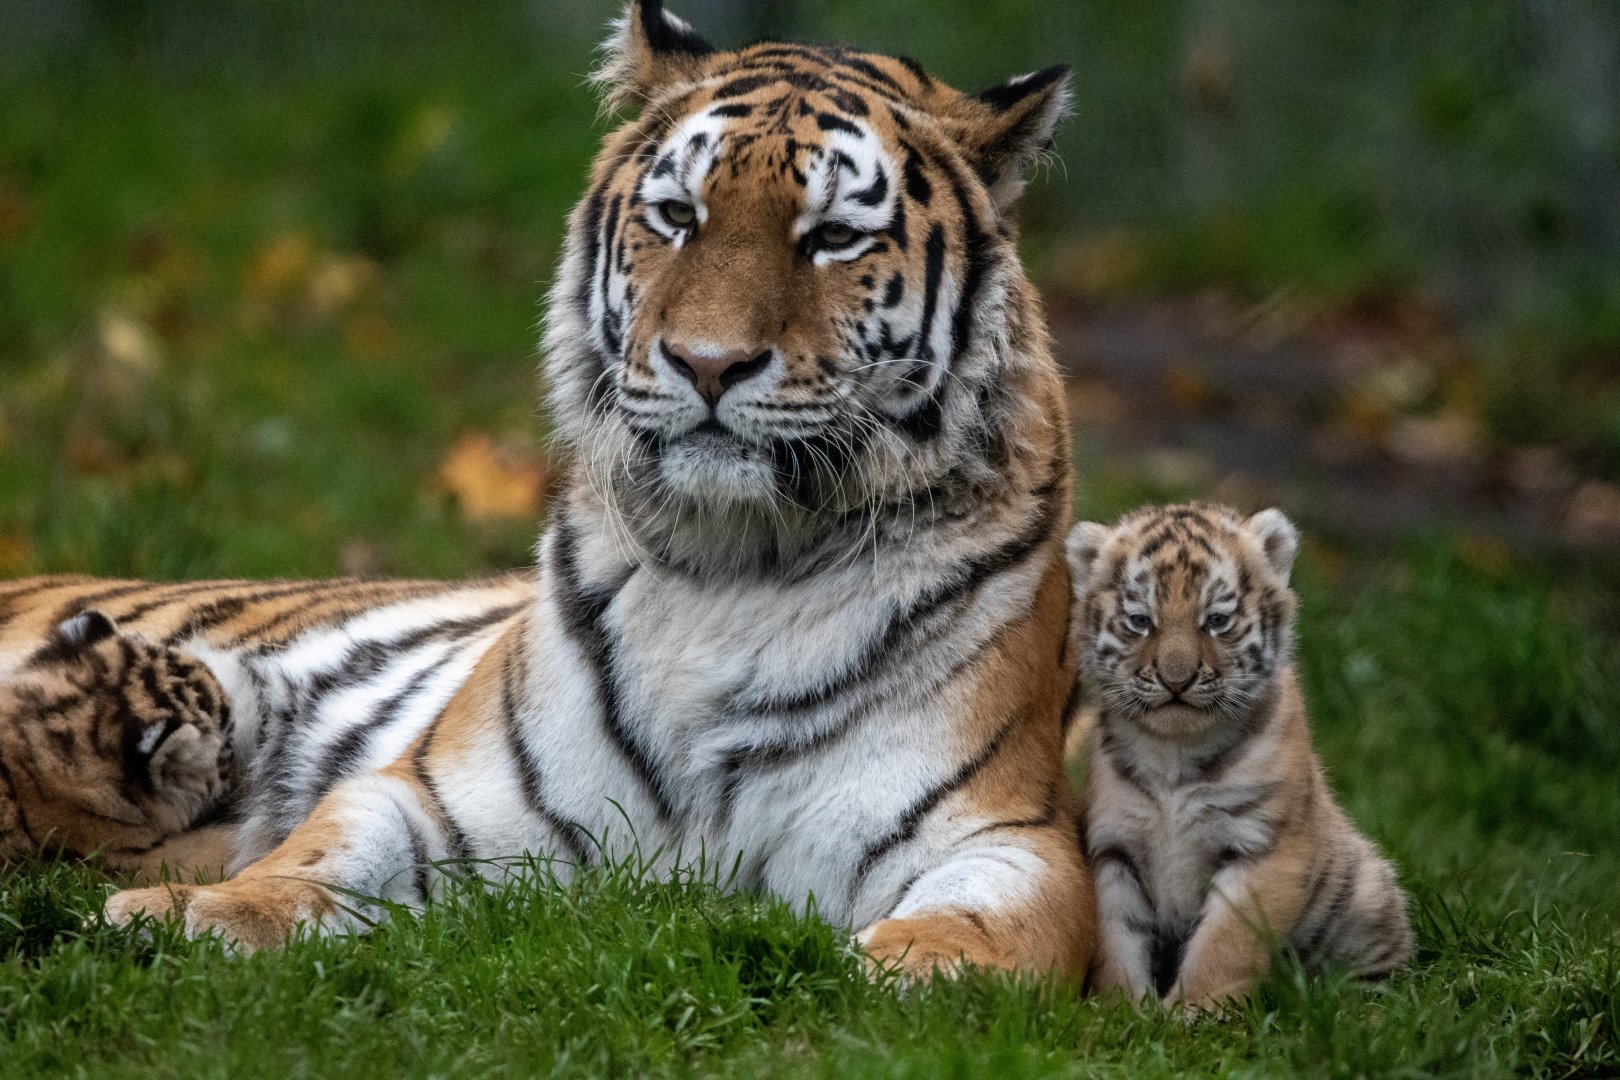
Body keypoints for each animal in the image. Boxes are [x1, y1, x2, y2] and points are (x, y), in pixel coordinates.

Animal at [3, 1, 1096, 980]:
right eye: (679, 216)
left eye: (831, 237)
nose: (707, 364)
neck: (733, 566)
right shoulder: (440, 793)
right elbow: (324, 849)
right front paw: (189, 915)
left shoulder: (1009, 834)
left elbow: (979, 933)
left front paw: (892, 970)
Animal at [1067, 503, 1412, 1010]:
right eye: (1140, 620)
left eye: (1216, 620)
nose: (1176, 680)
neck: (1173, 751)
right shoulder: (1113, 848)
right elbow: (1117, 938)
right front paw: (1121, 1009)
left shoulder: (1265, 846)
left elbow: (1225, 940)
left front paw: (1195, 1010)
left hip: (1365, 896)